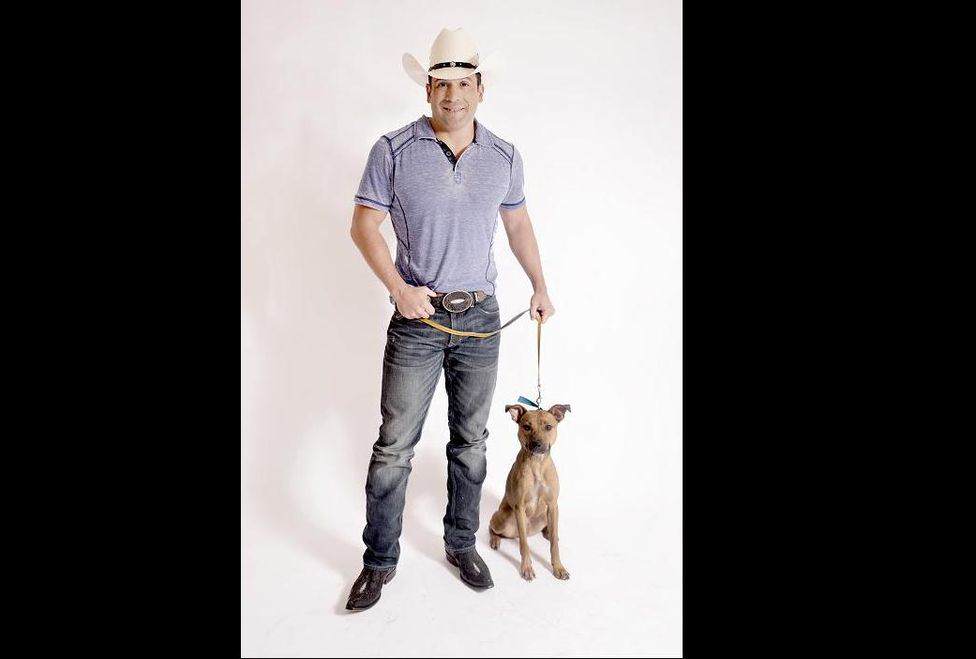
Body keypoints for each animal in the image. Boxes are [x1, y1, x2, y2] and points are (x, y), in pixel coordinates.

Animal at [489, 403, 572, 580]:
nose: (537, 444)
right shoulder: (519, 507)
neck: (537, 464)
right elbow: (524, 545)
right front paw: (526, 567)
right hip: (503, 518)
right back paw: (495, 540)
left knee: (549, 530)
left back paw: (548, 532)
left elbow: (554, 545)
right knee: (492, 527)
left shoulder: (553, 505)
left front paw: (558, 567)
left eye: (548, 427)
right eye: (527, 427)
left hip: (546, 515)